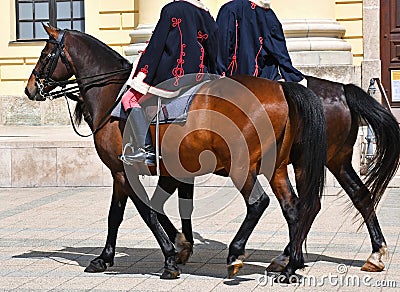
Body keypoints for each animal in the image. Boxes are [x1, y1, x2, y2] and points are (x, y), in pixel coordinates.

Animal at [24, 26, 328, 282]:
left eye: (45, 54)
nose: (29, 89)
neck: (112, 98)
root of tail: (279, 87)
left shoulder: (123, 172)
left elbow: (143, 212)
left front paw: (169, 259)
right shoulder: (163, 172)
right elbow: (137, 212)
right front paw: (173, 248)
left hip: (242, 168)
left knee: (258, 204)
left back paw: (236, 254)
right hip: (275, 168)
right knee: (293, 209)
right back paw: (289, 266)